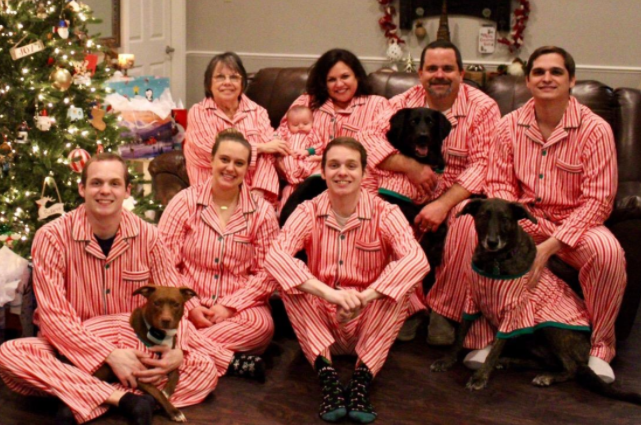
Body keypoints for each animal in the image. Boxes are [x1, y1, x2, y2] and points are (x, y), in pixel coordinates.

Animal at [428, 199, 640, 404]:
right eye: (483, 216)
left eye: (505, 219)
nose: (492, 242)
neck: (495, 260)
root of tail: (586, 350)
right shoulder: (472, 302)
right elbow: (460, 335)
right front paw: (447, 360)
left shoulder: (513, 313)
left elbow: (495, 348)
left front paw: (480, 377)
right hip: (530, 338)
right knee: (548, 361)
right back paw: (509, 361)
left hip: (551, 328)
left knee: (570, 368)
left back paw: (546, 377)